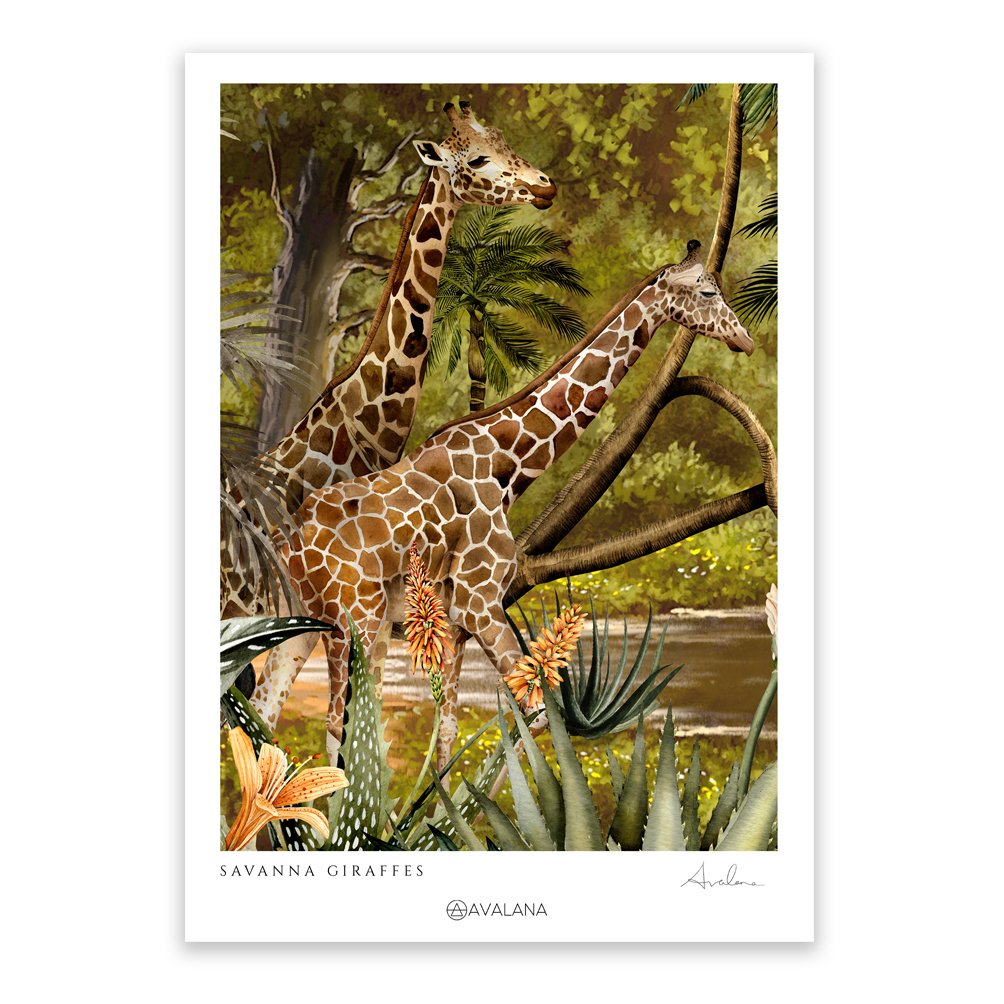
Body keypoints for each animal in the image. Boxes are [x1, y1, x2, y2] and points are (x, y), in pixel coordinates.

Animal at [265, 240, 753, 769]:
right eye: (707, 291)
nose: (746, 340)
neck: (508, 467)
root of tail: (287, 544)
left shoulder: (455, 622)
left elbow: (450, 729)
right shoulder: (481, 602)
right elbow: (536, 714)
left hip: (313, 624)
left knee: (278, 711)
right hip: (354, 619)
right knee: (337, 728)